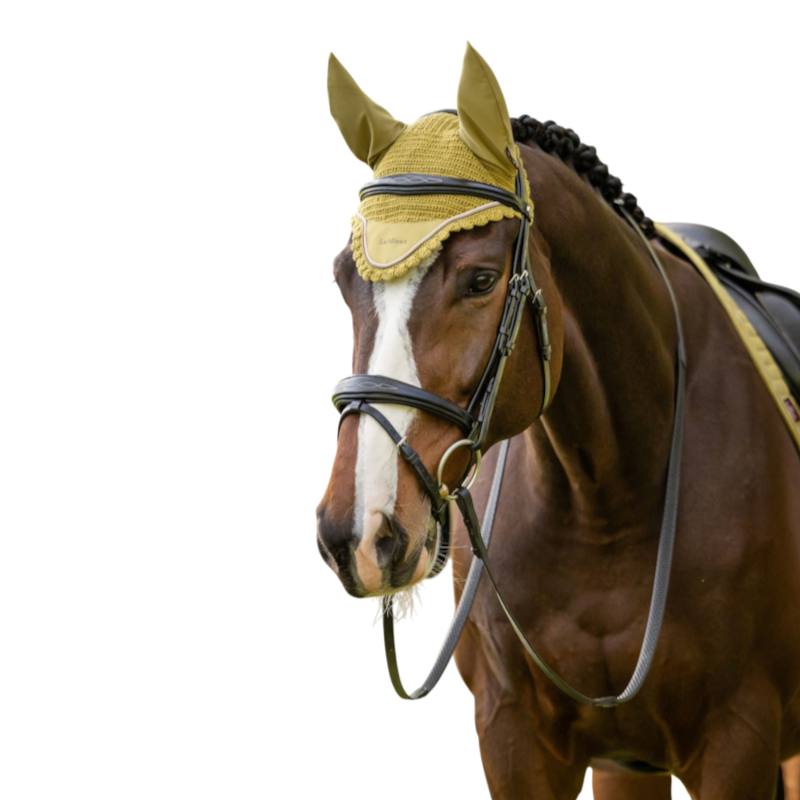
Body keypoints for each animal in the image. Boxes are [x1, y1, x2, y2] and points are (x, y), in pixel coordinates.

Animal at [316, 43, 800, 799]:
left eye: (481, 280)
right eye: (344, 278)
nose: (359, 533)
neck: (605, 505)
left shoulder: (739, 742)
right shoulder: (514, 735)